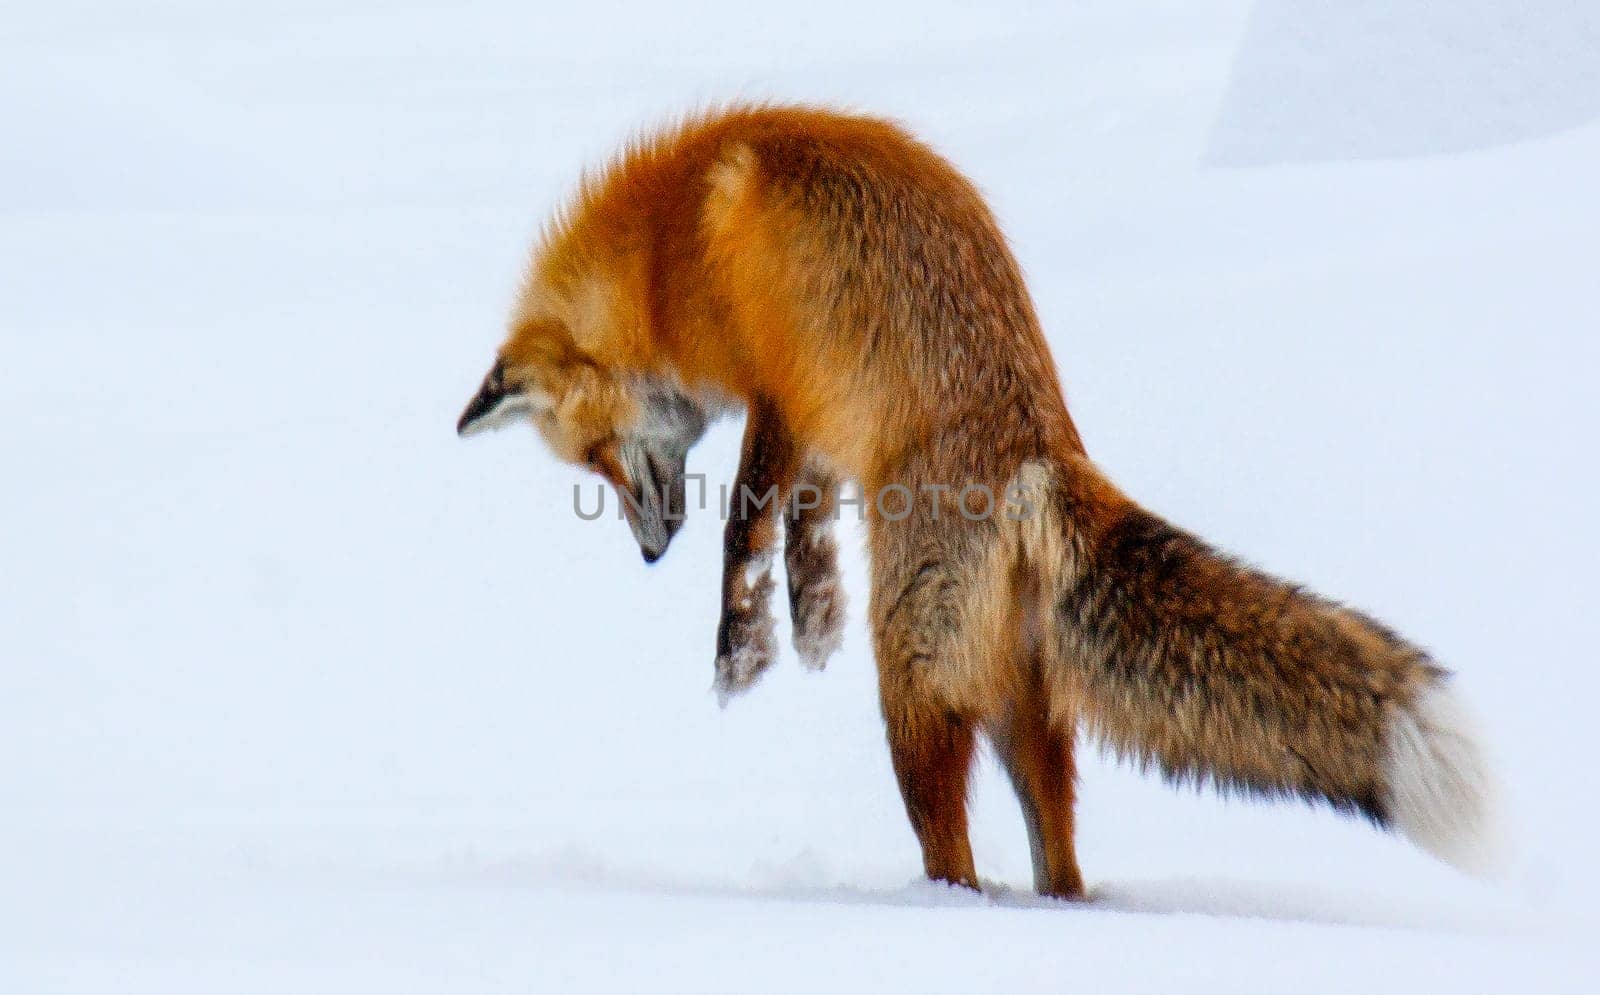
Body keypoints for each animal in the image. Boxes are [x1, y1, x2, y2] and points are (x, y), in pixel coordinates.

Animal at [457, 105, 1491, 902]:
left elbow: (747, 523)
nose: (649, 552)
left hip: (918, 688)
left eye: (594, 460)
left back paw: (941, 913)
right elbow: (807, 530)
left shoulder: (778, 384)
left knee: (954, 853)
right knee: (1058, 859)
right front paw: (812, 621)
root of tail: (1041, 453)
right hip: (1021, 705)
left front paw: (741, 649)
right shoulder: (821, 423)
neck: (671, 237)